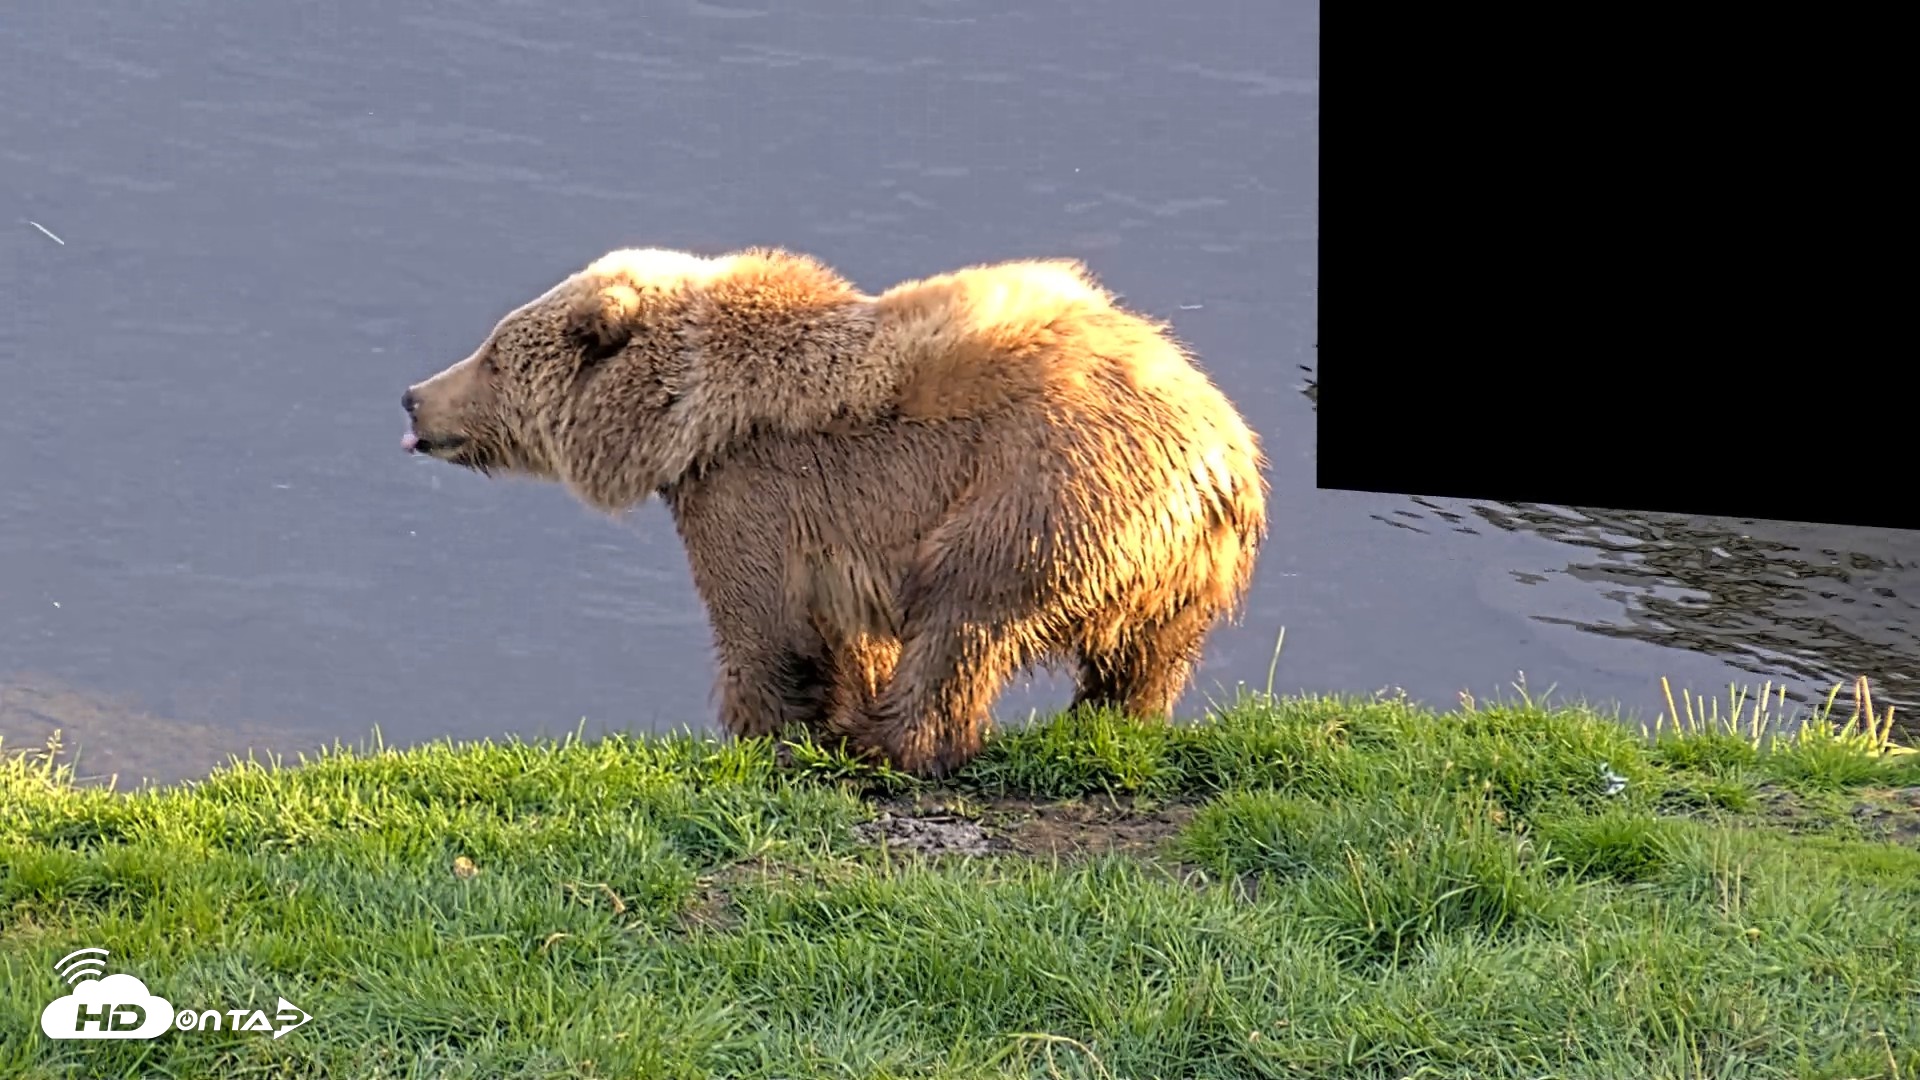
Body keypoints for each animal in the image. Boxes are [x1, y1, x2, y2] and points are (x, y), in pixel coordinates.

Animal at [400, 246, 1268, 778]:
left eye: (493, 355)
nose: (413, 396)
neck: (679, 418)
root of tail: (1221, 447)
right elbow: (846, 636)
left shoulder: (750, 492)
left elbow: (764, 625)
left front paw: (769, 730)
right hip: (1179, 565)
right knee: (1146, 655)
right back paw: (1111, 718)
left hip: (1044, 492)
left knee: (963, 614)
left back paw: (894, 744)